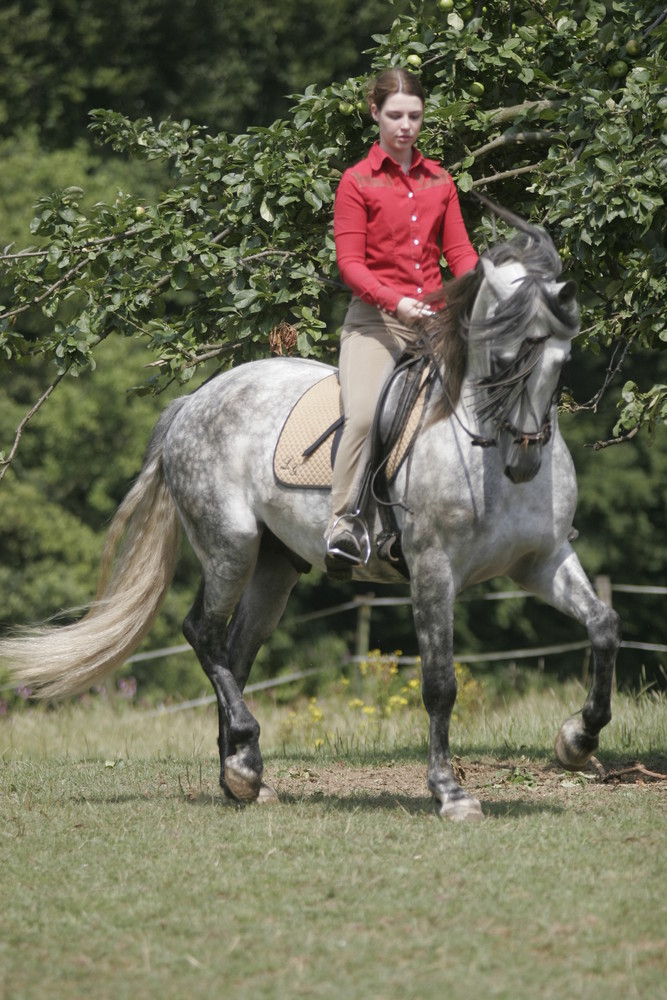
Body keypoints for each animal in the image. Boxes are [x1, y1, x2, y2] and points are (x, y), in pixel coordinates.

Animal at [0, 225, 620, 820]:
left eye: (561, 363)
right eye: (506, 358)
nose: (524, 462)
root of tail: (195, 400)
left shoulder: (542, 561)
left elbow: (604, 626)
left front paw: (577, 739)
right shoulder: (433, 571)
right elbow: (440, 684)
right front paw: (450, 793)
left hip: (275, 565)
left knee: (236, 650)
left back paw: (241, 776)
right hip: (231, 547)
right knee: (203, 634)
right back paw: (244, 761)